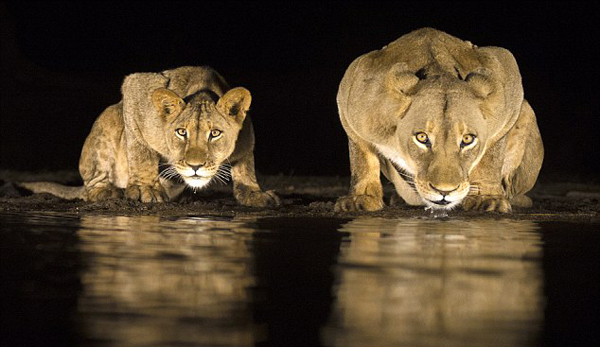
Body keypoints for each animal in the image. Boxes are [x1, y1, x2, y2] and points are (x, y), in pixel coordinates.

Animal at [21, 66, 278, 207]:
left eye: (215, 133)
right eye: (181, 132)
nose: (195, 166)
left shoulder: (247, 137)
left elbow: (246, 168)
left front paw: (256, 194)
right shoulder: (134, 87)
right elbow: (140, 151)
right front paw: (146, 189)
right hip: (109, 117)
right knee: (92, 185)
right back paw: (109, 191)